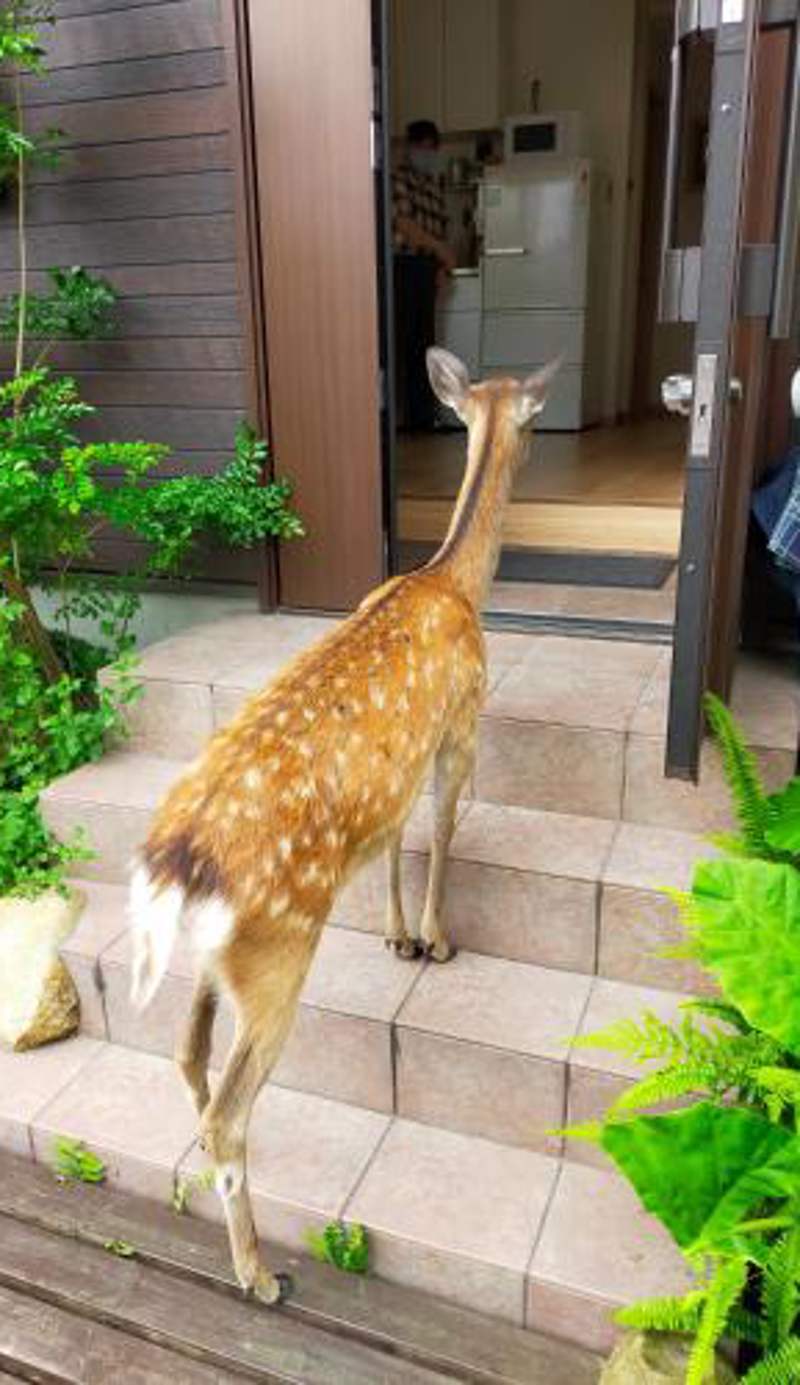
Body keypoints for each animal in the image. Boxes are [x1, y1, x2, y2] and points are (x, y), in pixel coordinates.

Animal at [129, 348, 558, 1308]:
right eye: (535, 416)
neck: (453, 583)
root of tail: (173, 870)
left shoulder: (394, 773)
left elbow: (394, 840)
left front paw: (399, 937)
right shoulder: (461, 723)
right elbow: (441, 828)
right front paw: (437, 939)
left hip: (218, 958)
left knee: (184, 1051)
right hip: (278, 953)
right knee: (232, 1108)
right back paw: (259, 1273)